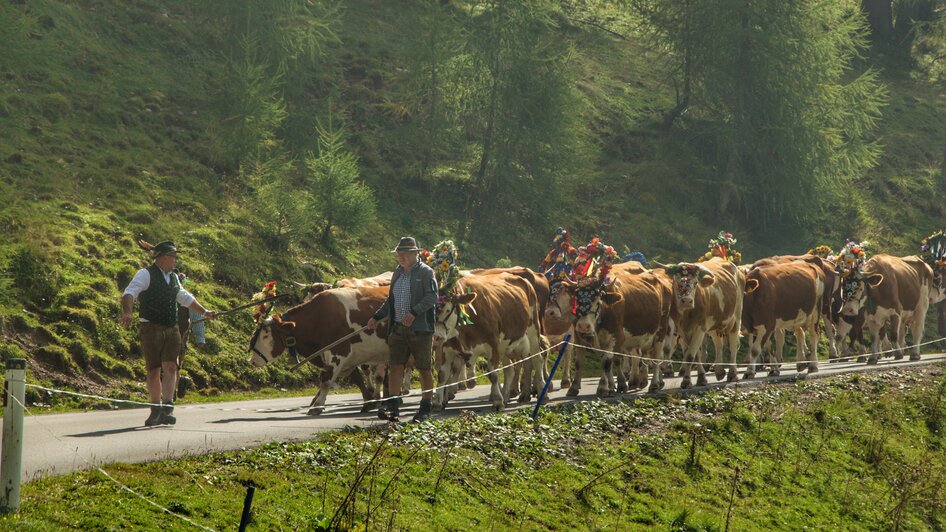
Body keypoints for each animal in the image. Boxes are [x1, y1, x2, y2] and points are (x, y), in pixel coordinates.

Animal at [247, 286, 390, 416]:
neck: (319, 318)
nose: (252, 361)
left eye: (265, 336)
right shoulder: (343, 357)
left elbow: (326, 381)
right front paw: (368, 402)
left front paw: (317, 406)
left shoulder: (338, 352)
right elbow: (356, 378)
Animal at [432, 272, 544, 410]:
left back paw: (541, 393)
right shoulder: (447, 348)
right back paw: (509, 396)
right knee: (511, 369)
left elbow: (493, 374)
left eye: (447, 310)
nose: (436, 337)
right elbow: (442, 374)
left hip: (533, 331)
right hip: (505, 346)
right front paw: (437, 402)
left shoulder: (493, 343)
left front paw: (497, 401)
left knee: (537, 359)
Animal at [652, 256, 740, 386]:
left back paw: (732, 374)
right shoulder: (682, 330)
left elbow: (690, 355)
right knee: (718, 343)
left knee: (733, 345)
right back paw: (719, 371)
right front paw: (701, 377)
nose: (687, 300)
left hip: (735, 319)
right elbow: (694, 354)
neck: (687, 314)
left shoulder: (700, 328)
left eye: (696, 282)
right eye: (676, 281)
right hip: (714, 323)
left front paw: (687, 381)